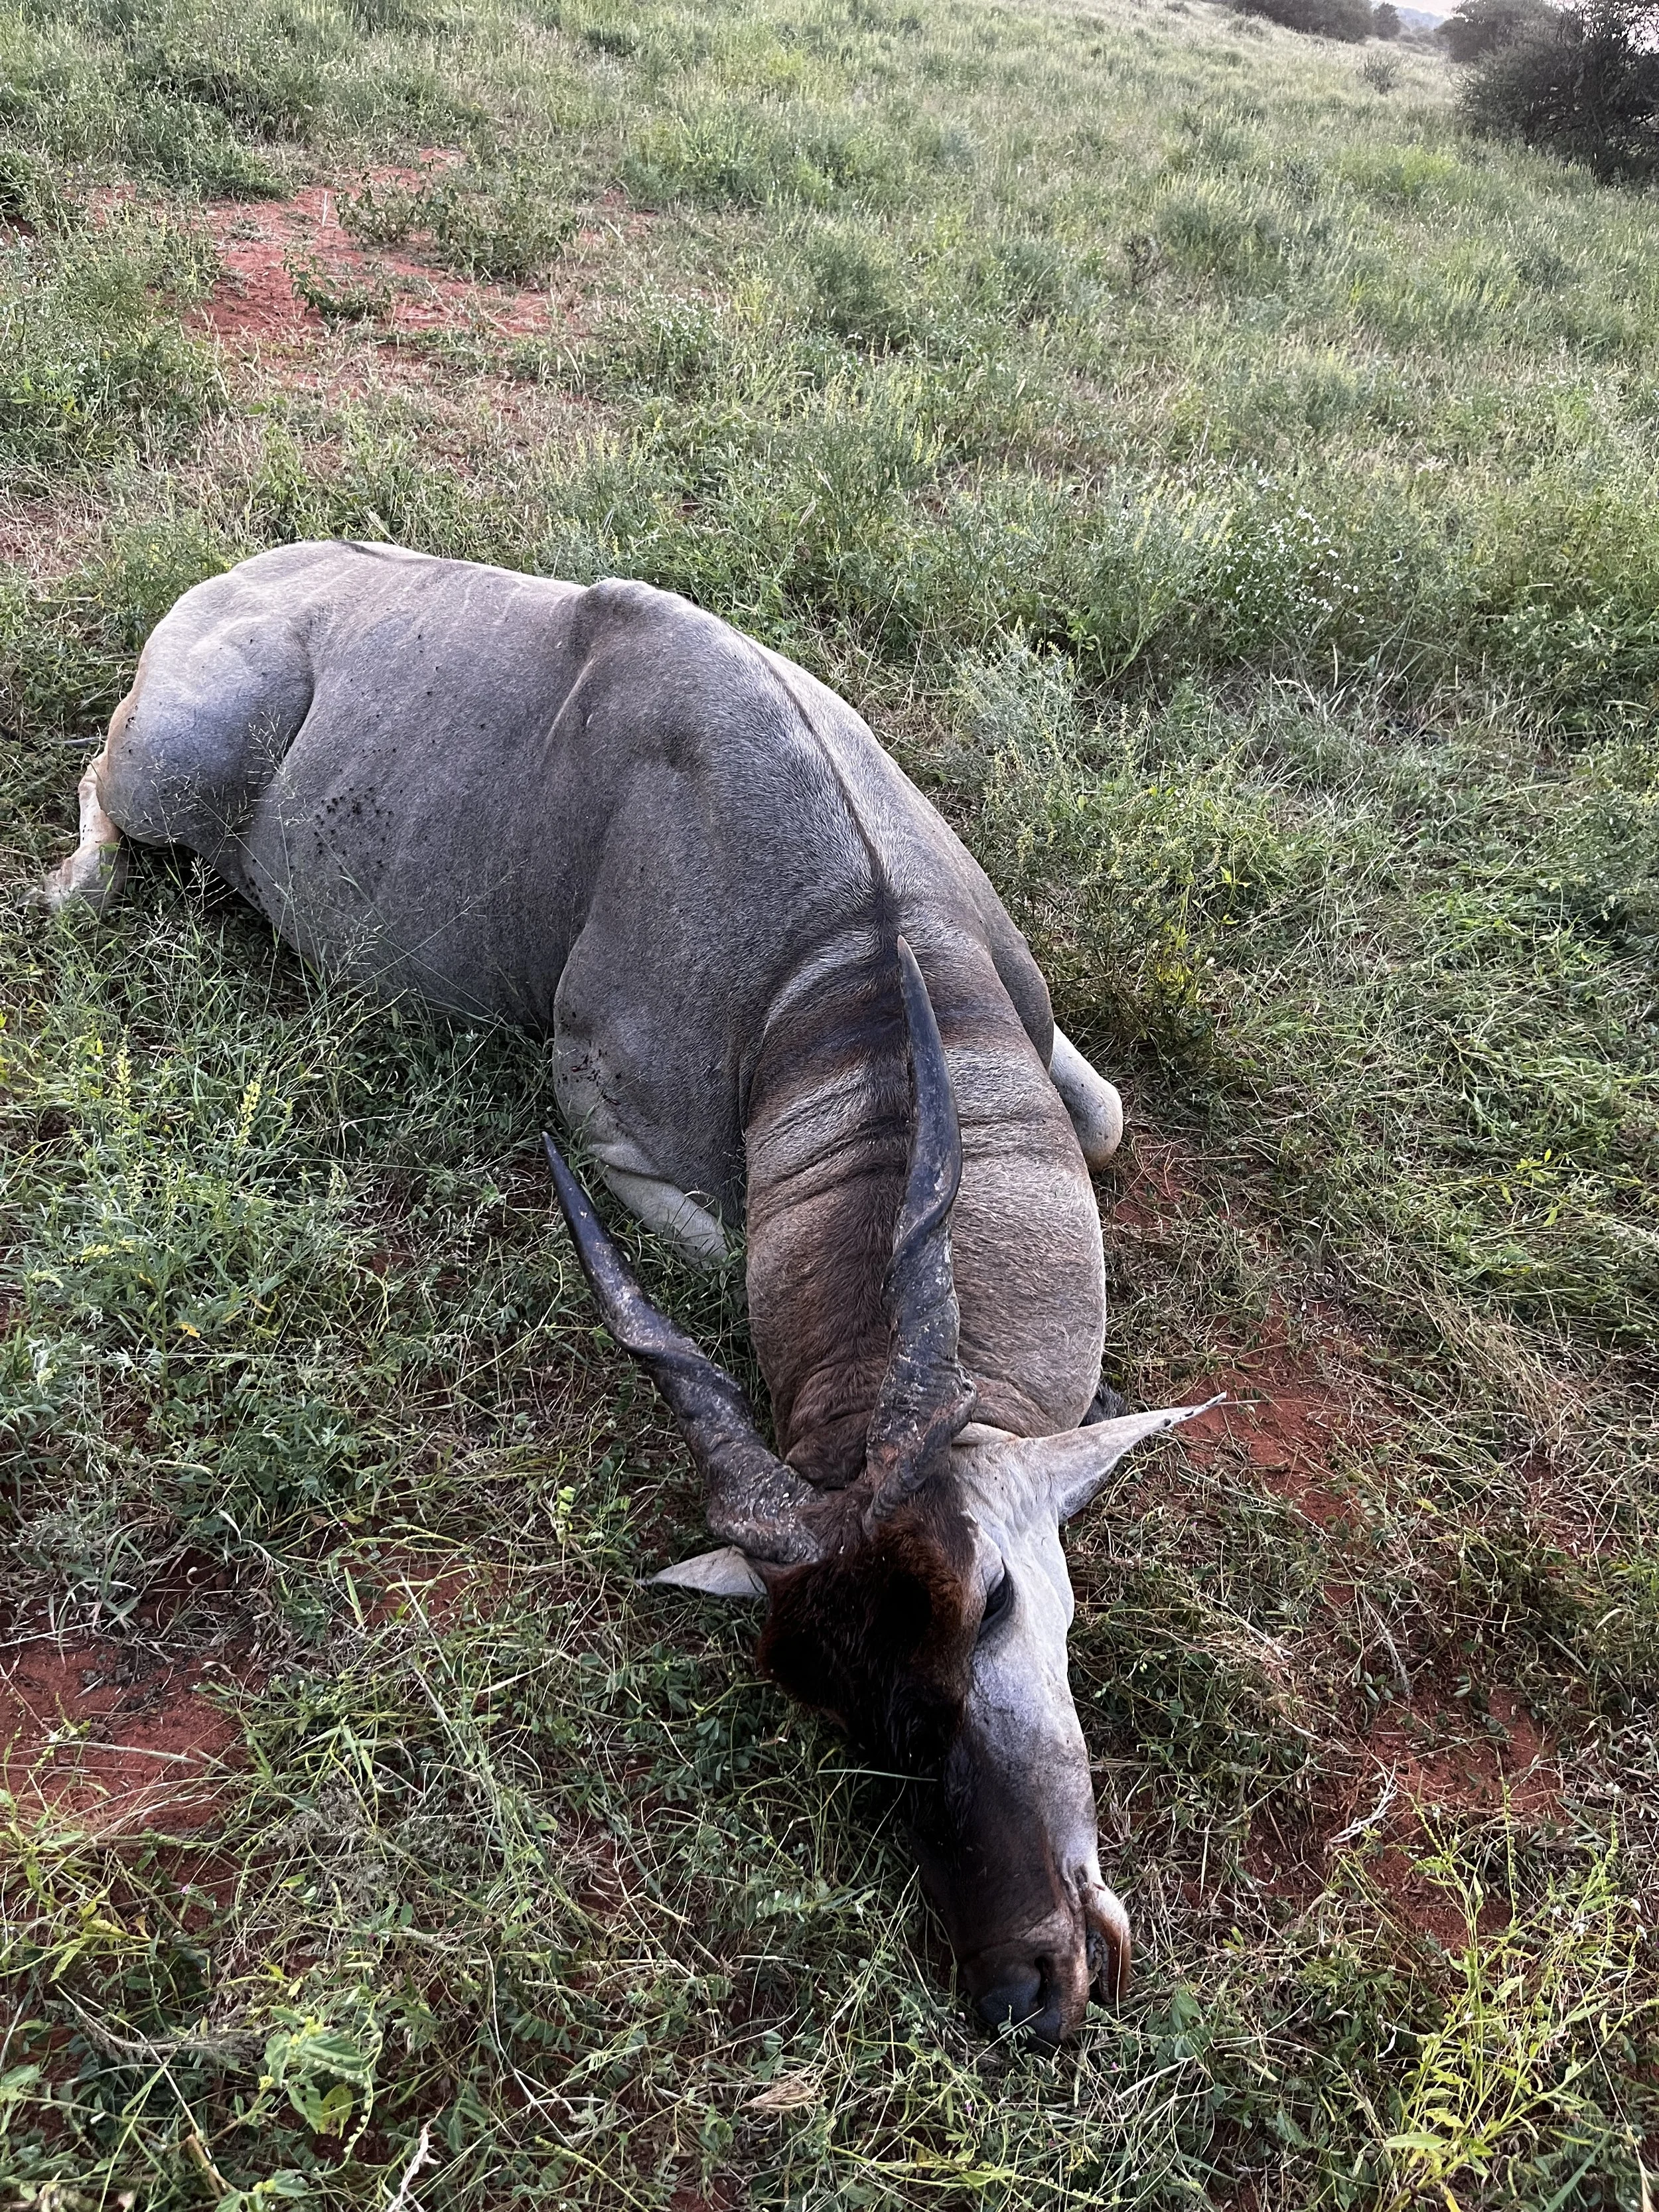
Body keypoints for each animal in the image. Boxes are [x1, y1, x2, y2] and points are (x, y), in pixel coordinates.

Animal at [43, 540, 1214, 2043]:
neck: (849, 951)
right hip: (155, 781)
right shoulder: (608, 1132)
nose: (1023, 1982)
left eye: (994, 1604)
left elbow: (1110, 1120)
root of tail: (240, 576)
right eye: (827, 1692)